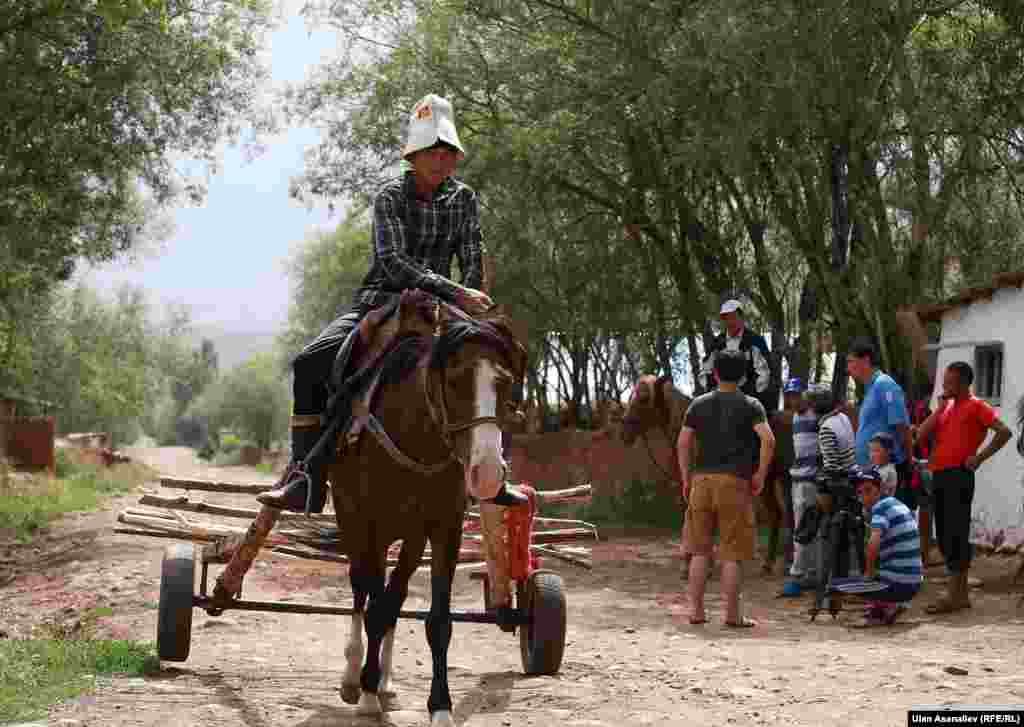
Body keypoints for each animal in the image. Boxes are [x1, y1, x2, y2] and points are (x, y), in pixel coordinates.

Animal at [329, 292, 528, 724]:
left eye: (505, 382)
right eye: (454, 381)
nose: (488, 473)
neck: (416, 437)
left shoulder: (442, 529)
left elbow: (436, 621)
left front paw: (439, 706)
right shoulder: (370, 525)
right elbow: (374, 607)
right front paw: (366, 694)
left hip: (409, 535)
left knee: (395, 594)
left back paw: (384, 681)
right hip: (353, 521)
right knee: (361, 589)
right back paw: (354, 676)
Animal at [622, 376, 782, 573]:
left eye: (644, 398)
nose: (624, 432)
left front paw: (694, 564)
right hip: (767, 482)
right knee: (776, 514)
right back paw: (768, 563)